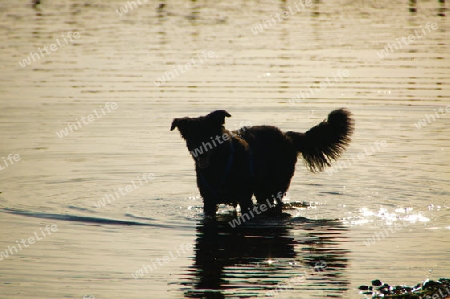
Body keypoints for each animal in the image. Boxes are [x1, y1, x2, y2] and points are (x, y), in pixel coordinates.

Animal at [171, 109, 354, 217]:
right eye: (192, 137)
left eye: (210, 136)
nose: (200, 152)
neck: (219, 166)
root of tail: (287, 135)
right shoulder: (208, 201)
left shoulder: (244, 198)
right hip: (262, 190)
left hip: (275, 187)